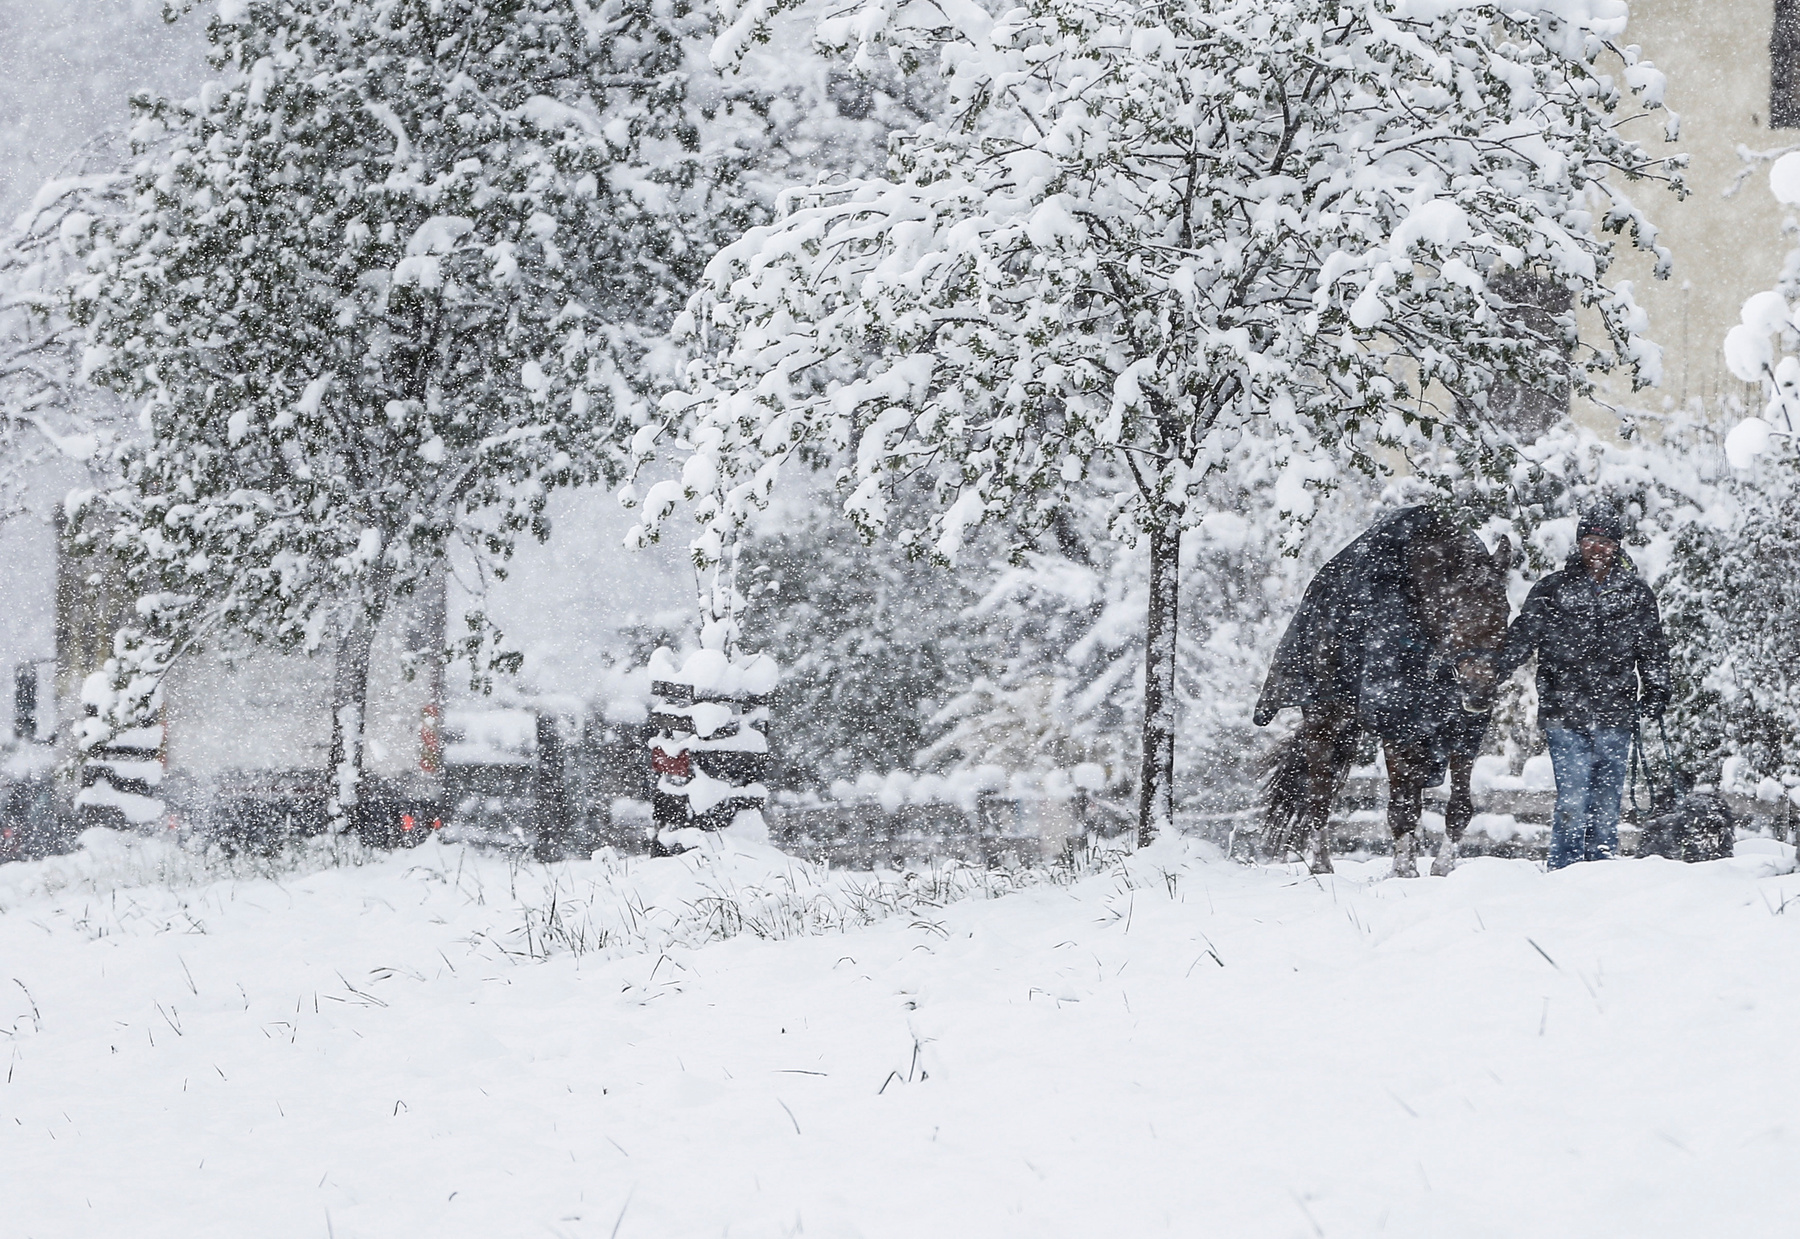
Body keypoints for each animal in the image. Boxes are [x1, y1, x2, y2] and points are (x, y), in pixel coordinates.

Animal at [1252, 504, 1519, 882]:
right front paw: (1402, 873)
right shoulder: (1396, 727)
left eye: (1504, 611)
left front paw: (1441, 869)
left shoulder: (1464, 732)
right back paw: (1322, 865)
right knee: (1319, 793)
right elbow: (1401, 808)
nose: (1479, 691)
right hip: (1326, 721)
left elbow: (1458, 808)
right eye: (1452, 610)